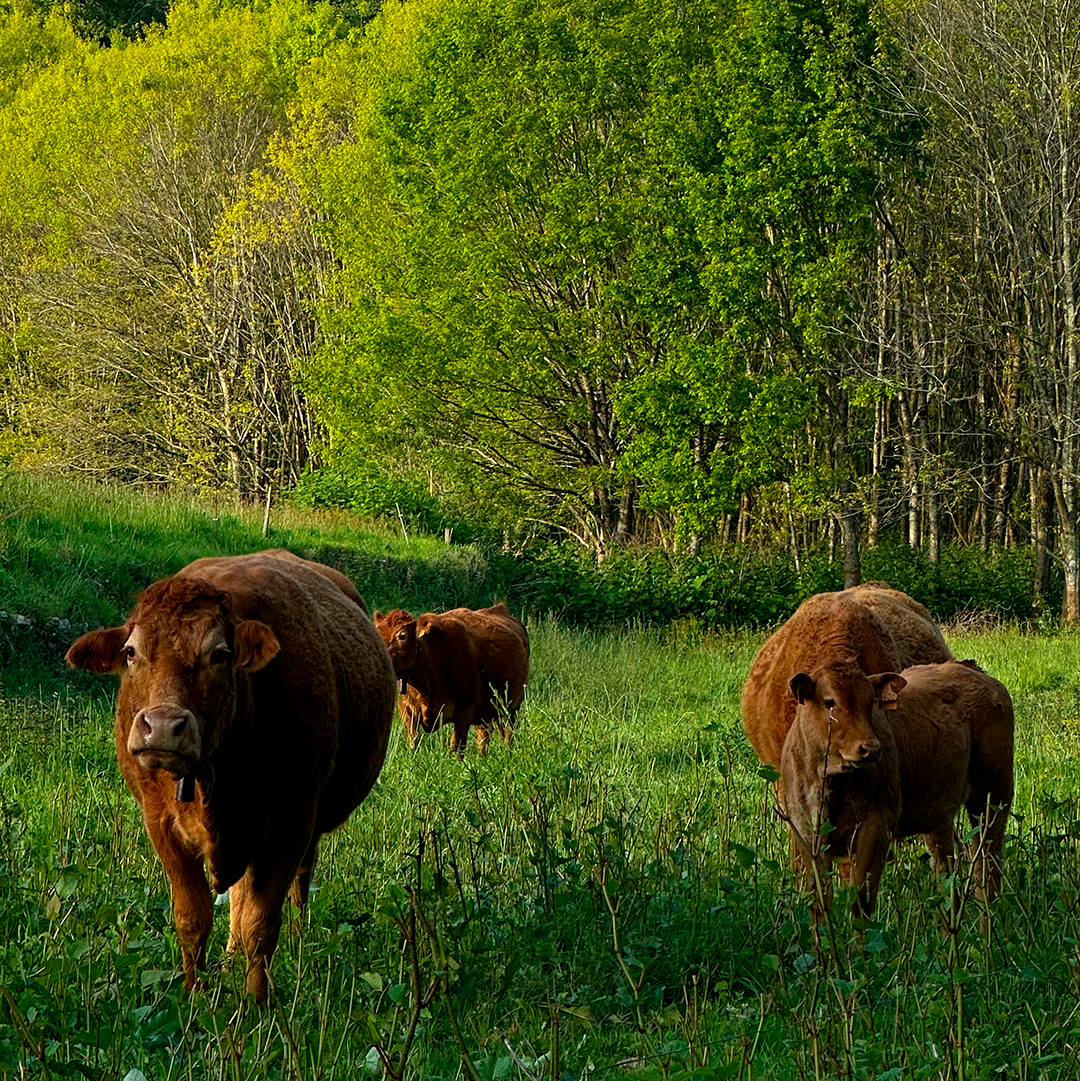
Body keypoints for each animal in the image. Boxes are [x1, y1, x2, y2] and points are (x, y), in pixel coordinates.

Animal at [65, 552, 396, 1002]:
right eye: (131, 652)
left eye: (219, 654)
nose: (163, 726)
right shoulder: (160, 822)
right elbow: (193, 916)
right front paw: (194, 994)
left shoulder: (293, 821)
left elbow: (261, 921)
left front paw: (256, 1002)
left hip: (310, 827)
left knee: (297, 889)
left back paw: (297, 945)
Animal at [373, 603, 529, 755]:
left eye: (402, 636)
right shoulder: (408, 713)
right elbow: (414, 744)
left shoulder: (464, 712)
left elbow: (456, 747)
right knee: (484, 736)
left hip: (511, 707)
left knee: (507, 733)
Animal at [780, 659, 1014, 916]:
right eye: (829, 702)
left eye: (870, 702)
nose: (870, 748)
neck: (830, 782)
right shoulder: (804, 831)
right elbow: (819, 901)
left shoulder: (876, 826)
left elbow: (861, 900)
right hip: (937, 813)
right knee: (946, 872)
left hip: (993, 796)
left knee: (988, 868)